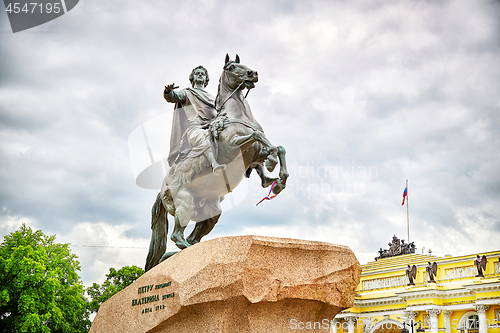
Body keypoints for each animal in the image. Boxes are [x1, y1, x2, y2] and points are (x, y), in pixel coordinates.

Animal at [145, 54, 288, 272]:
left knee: (192, 237)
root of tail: (162, 191)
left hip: (211, 214)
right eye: (231, 67)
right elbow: (258, 136)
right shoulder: (232, 147)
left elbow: (278, 147)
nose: (253, 73)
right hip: (184, 202)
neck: (237, 116)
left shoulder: (255, 155)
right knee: (177, 236)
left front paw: (277, 181)